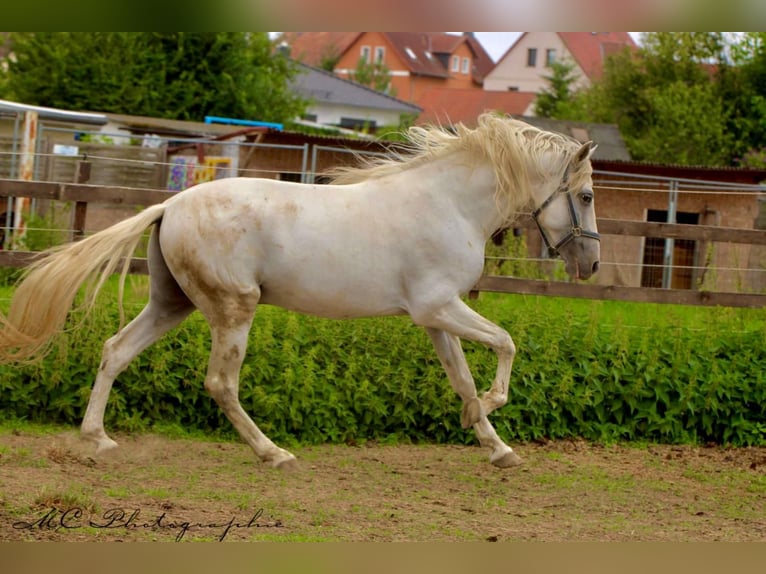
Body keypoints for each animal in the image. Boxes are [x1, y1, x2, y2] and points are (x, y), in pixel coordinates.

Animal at [0, 113, 600, 469]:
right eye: (588, 195)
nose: (591, 264)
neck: (450, 203)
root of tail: (169, 205)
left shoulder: (435, 316)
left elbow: (462, 379)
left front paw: (495, 446)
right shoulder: (437, 307)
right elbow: (505, 344)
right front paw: (484, 416)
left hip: (172, 304)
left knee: (115, 351)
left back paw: (97, 438)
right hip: (233, 309)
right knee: (220, 383)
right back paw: (274, 453)